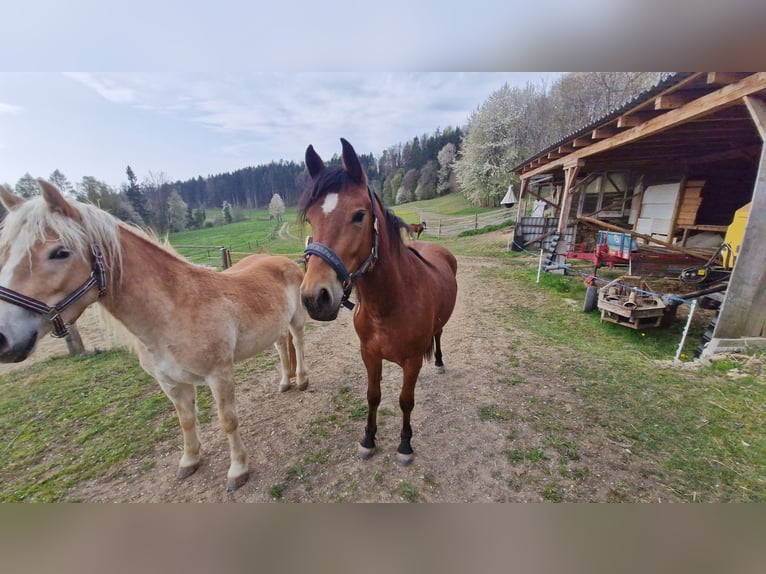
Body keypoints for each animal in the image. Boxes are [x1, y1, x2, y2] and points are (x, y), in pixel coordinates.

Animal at [0, 180, 309, 491]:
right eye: (5, 252)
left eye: (60, 252)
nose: (4, 338)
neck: (173, 311)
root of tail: (280, 260)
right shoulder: (170, 382)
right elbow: (186, 420)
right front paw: (190, 461)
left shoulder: (219, 375)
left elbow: (227, 421)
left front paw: (238, 470)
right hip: (274, 328)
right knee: (282, 348)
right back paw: (285, 382)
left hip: (295, 321)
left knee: (297, 343)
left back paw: (302, 380)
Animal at [299, 138, 458, 465]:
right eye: (311, 218)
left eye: (359, 215)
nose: (314, 297)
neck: (389, 305)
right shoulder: (369, 355)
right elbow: (373, 396)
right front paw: (368, 439)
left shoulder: (411, 362)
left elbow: (406, 401)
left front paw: (405, 445)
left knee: (438, 335)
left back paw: (438, 361)